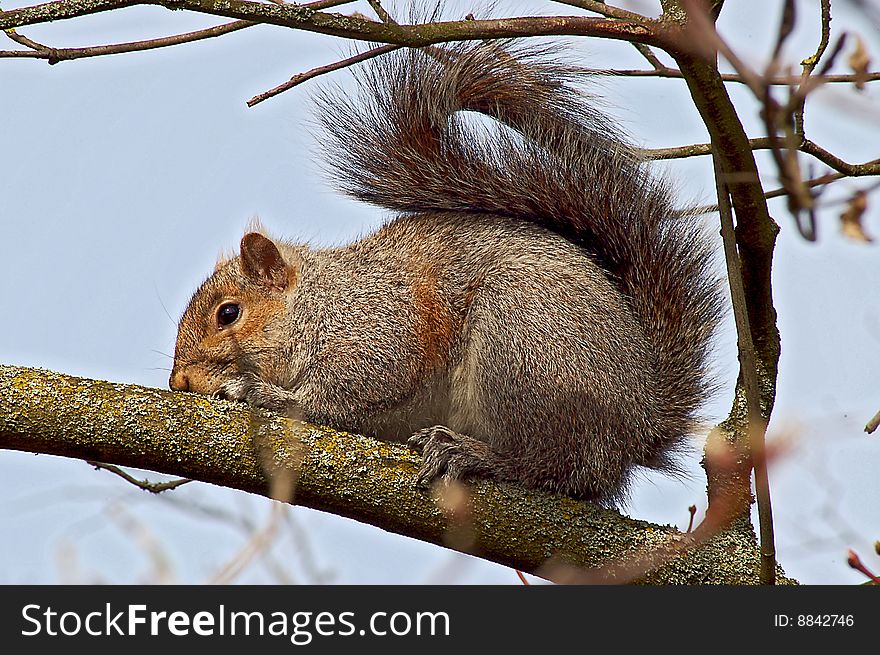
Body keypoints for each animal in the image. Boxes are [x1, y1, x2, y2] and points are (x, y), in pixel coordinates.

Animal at [170, 43, 720, 504]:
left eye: (228, 314)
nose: (179, 382)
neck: (317, 299)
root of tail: (639, 422)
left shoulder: (377, 324)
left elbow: (351, 388)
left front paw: (261, 394)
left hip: (520, 348)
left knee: (555, 466)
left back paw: (475, 454)